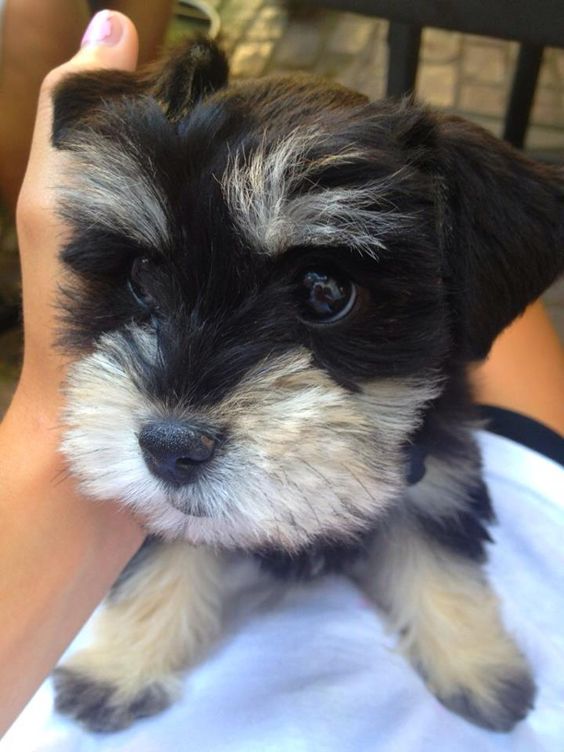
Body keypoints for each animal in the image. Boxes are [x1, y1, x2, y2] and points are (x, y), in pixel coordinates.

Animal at [50, 36, 560, 736]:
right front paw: (118, 666)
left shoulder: (440, 471)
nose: (169, 448)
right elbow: (157, 554)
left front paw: (477, 663)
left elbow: (442, 559)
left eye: (326, 289)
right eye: (143, 273)